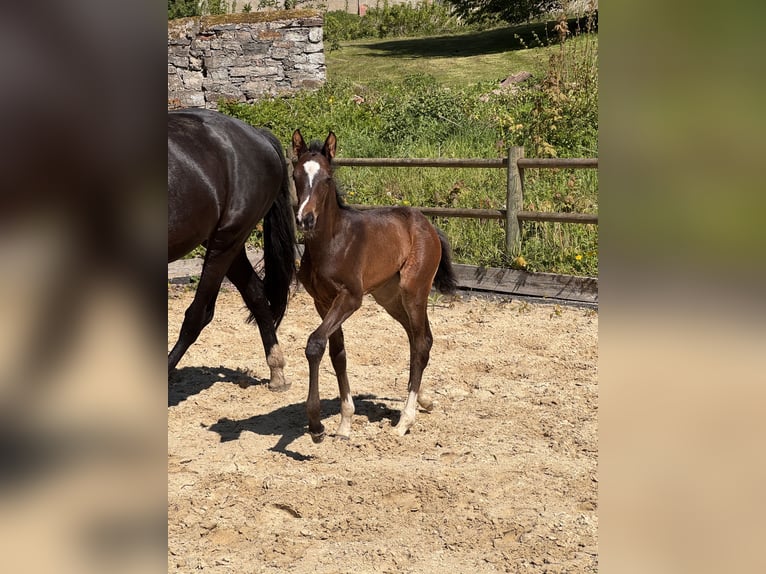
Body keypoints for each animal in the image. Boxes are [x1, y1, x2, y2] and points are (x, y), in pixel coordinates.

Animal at [168, 109, 296, 391]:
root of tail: (258, 135)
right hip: (228, 244)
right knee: (256, 294)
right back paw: (277, 372)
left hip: (226, 240)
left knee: (198, 315)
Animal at [291, 129, 458, 442]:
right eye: (295, 175)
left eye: (327, 178)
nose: (305, 219)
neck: (332, 243)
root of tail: (426, 224)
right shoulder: (322, 301)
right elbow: (338, 354)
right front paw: (344, 423)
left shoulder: (350, 298)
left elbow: (315, 344)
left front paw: (317, 426)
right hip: (388, 297)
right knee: (419, 339)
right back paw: (424, 400)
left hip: (414, 290)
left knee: (420, 343)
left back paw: (405, 420)